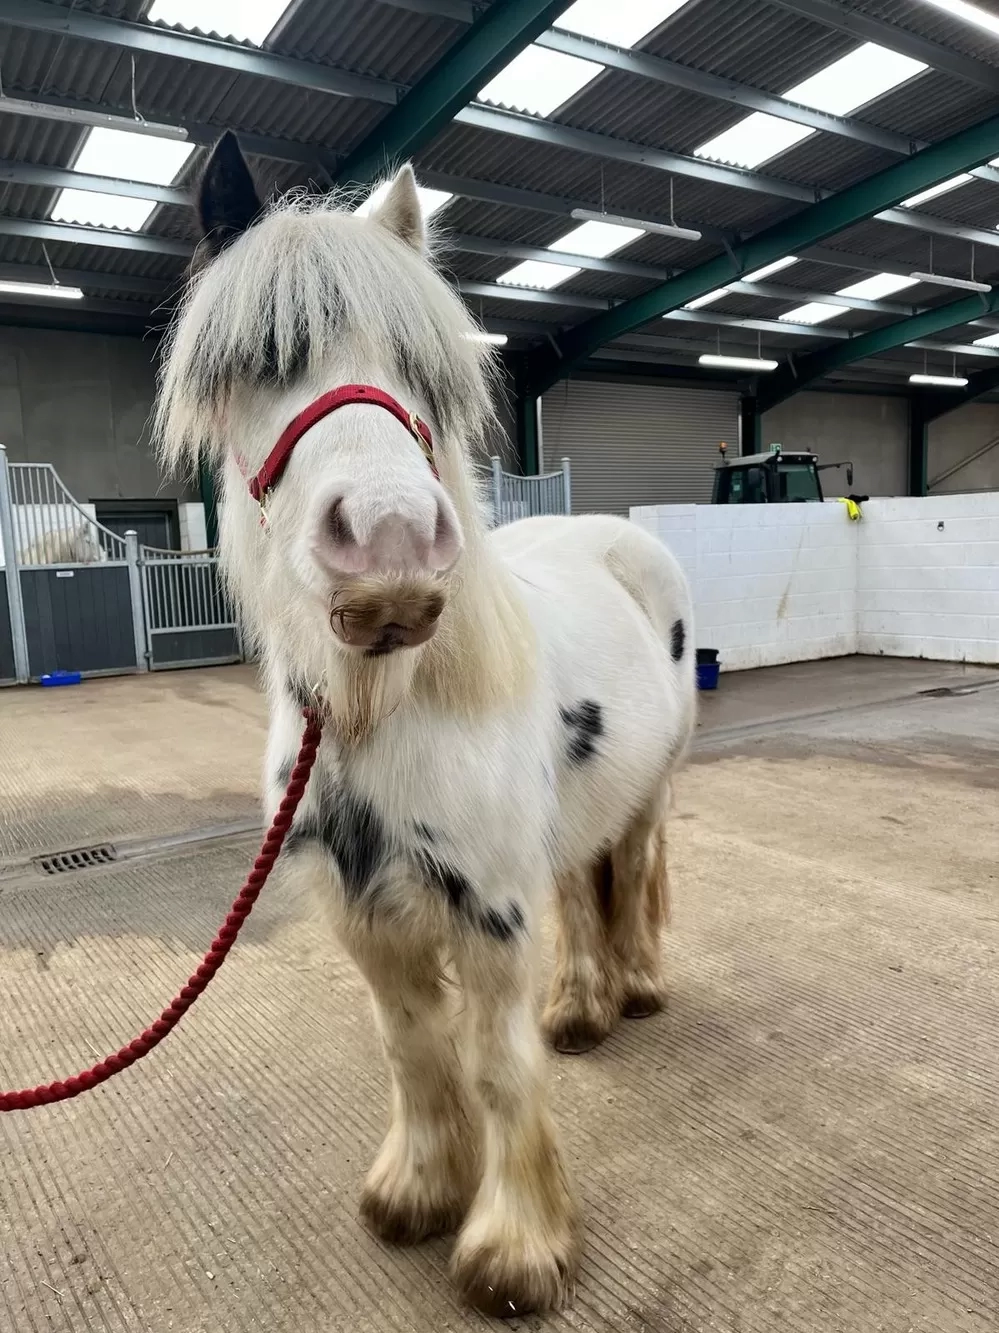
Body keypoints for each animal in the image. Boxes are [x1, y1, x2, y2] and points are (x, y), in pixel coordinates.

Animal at [154, 129, 693, 1317]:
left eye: (418, 367)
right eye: (261, 360)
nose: (392, 548)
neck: (383, 717)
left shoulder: (487, 907)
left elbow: (494, 1065)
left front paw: (514, 1248)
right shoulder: (363, 909)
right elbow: (412, 1049)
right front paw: (417, 1190)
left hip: (647, 790)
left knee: (628, 875)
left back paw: (633, 990)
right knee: (582, 895)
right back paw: (580, 1007)